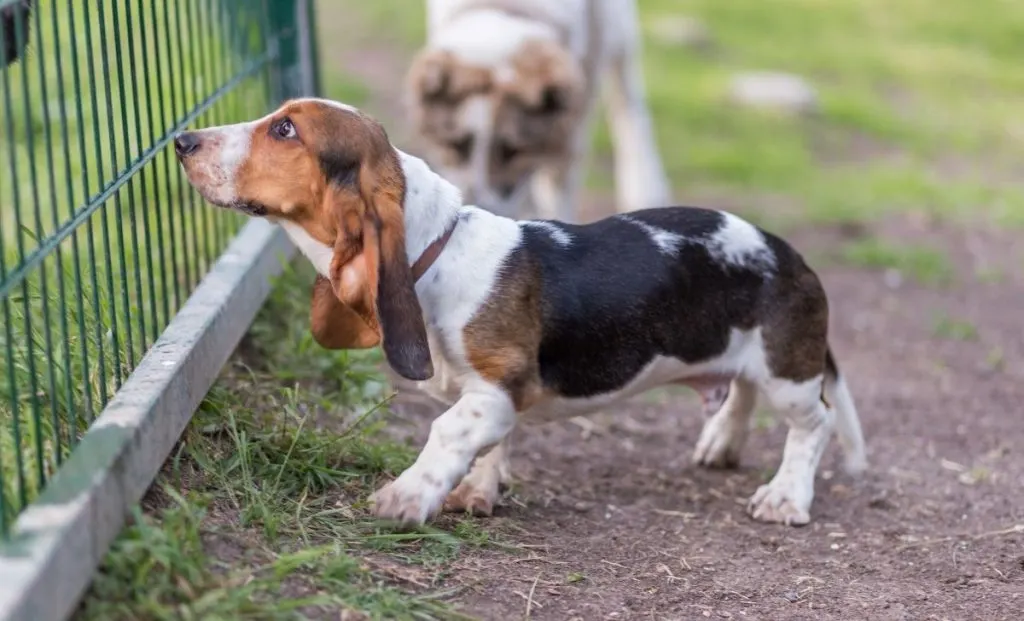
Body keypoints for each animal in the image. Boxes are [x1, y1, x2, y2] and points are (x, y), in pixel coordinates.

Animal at [174, 99, 864, 528]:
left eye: (285, 131)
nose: (182, 141)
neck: (438, 248)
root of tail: (787, 252)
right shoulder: (493, 394)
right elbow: (489, 444)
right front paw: (478, 491)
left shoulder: (495, 388)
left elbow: (449, 432)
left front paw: (408, 496)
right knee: (740, 393)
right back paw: (720, 443)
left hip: (787, 373)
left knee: (816, 423)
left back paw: (785, 497)